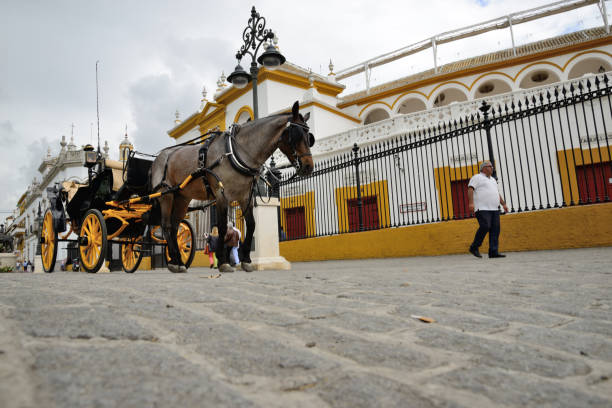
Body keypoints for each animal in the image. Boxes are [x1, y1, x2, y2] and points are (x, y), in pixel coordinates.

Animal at [149, 100, 316, 272]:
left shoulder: (244, 197)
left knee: (175, 227)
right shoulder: (221, 195)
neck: (235, 153)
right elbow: (222, 227)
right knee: (166, 226)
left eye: (309, 138)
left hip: (182, 197)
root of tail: (159, 158)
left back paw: (179, 262)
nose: (308, 166)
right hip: (166, 195)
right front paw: (223, 261)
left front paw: (247, 260)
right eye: (296, 136)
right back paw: (175, 261)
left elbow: (251, 224)